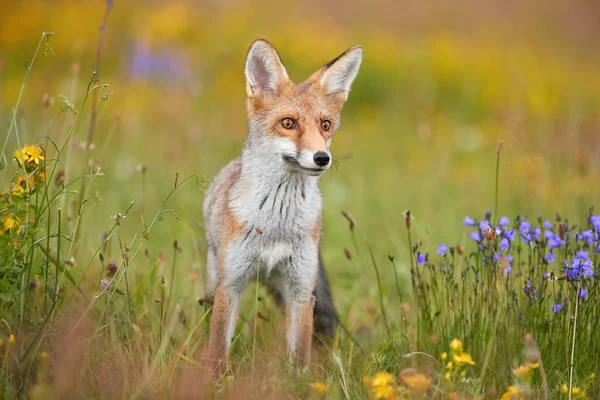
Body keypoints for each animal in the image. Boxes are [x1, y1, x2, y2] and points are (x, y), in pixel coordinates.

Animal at [203, 38, 360, 372]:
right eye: (288, 123)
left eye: (325, 125)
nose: (321, 158)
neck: (277, 223)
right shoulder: (231, 284)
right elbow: (219, 349)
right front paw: (215, 378)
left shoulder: (300, 289)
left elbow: (300, 353)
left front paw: (299, 380)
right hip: (214, 282)